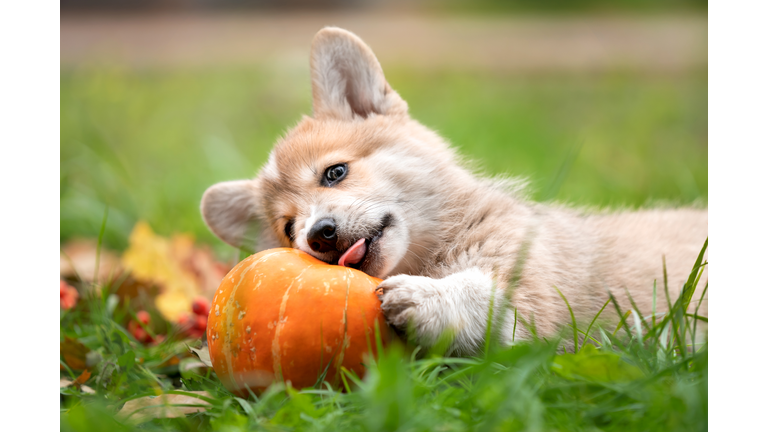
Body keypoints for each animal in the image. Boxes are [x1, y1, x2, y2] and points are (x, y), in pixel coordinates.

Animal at [200, 28, 708, 356]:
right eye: (289, 229)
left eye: (334, 172)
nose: (318, 234)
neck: (436, 252)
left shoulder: (533, 298)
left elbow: (482, 297)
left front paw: (427, 298)